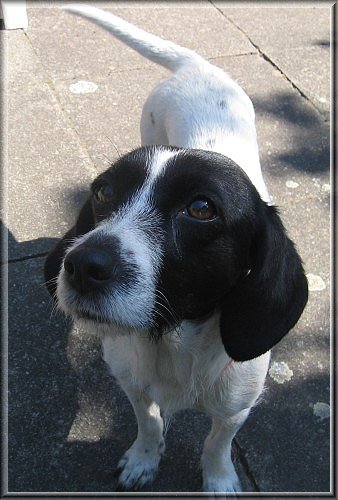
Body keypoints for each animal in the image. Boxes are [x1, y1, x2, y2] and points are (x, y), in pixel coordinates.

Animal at [45, 4, 308, 492]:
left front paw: (220, 480)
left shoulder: (236, 408)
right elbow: (149, 421)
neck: (170, 341)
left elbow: (217, 443)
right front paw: (144, 459)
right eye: (104, 191)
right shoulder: (131, 382)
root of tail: (196, 66)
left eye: (201, 208)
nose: (82, 265)